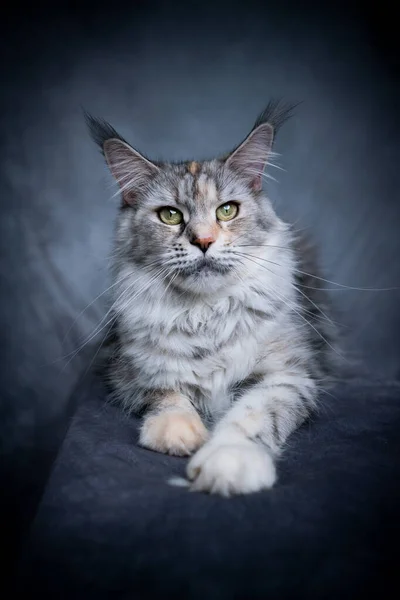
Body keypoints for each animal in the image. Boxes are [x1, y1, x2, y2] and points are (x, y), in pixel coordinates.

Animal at [87, 102, 338, 496]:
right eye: (170, 215)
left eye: (227, 210)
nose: (203, 241)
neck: (206, 313)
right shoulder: (133, 371)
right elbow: (168, 394)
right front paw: (178, 433)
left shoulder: (289, 375)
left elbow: (252, 415)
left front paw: (227, 462)